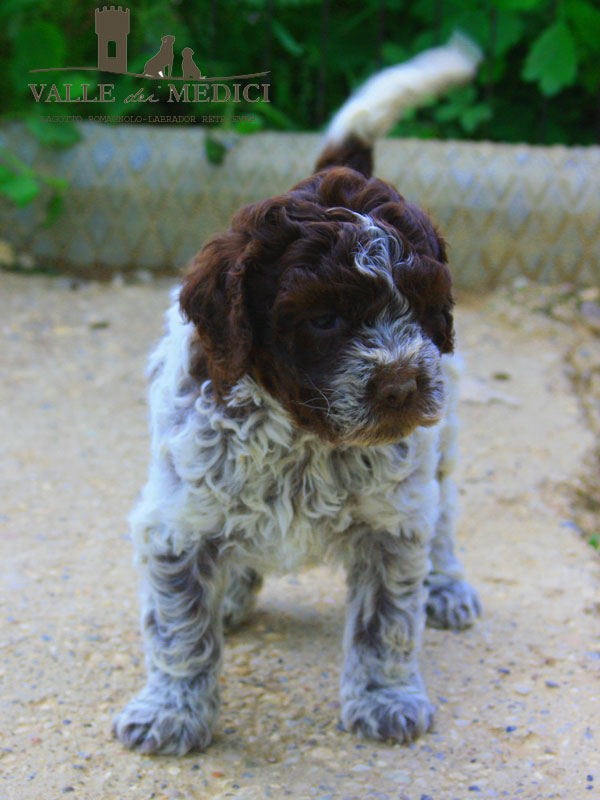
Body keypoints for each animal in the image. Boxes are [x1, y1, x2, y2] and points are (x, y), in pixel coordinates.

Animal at [112, 32, 482, 756]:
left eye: (426, 309)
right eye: (325, 319)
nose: (403, 384)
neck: (305, 436)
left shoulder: (393, 521)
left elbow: (386, 622)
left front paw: (387, 699)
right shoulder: (173, 521)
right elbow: (179, 630)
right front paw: (172, 710)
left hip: (444, 438)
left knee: (447, 513)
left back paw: (446, 584)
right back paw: (230, 592)